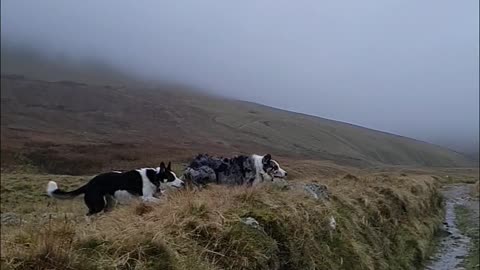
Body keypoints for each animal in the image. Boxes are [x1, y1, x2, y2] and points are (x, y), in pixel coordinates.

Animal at [46, 161, 184, 216]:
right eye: (171, 177)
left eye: (175, 176)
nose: (183, 183)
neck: (154, 177)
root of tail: (89, 184)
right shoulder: (146, 198)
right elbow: (161, 201)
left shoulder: (153, 195)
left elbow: (162, 197)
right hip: (98, 204)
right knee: (88, 215)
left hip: (110, 204)